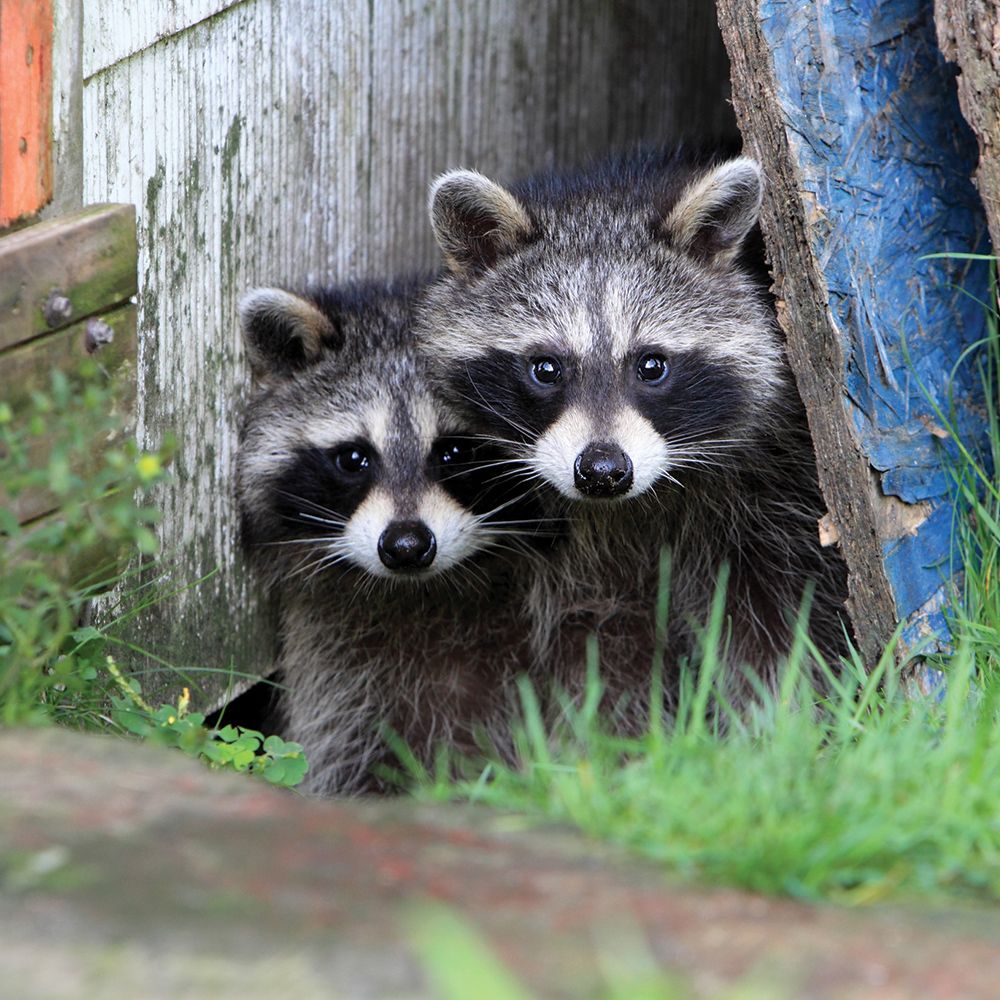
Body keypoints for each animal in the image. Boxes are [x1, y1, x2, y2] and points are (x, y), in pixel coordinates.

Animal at [236, 279, 545, 795]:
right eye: (353, 458)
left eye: (454, 451)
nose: (406, 547)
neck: (422, 594)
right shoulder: (335, 651)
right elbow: (343, 747)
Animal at [418, 150, 849, 716]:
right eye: (546, 368)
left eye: (651, 366)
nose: (602, 471)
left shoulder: (777, 479)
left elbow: (782, 612)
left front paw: (782, 717)